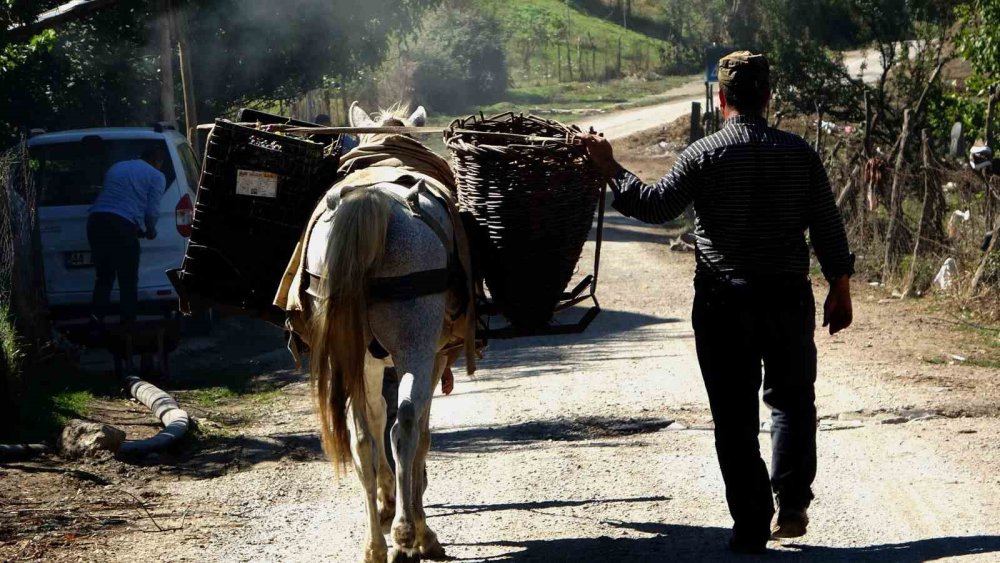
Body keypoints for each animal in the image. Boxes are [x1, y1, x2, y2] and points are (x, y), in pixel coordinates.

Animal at [304, 103, 464, 560]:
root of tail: (369, 201)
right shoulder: (434, 356)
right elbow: (420, 431)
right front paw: (414, 516)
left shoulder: (371, 362)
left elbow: (373, 423)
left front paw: (389, 498)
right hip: (415, 348)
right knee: (405, 425)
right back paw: (411, 536)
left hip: (354, 354)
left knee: (361, 439)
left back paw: (375, 544)